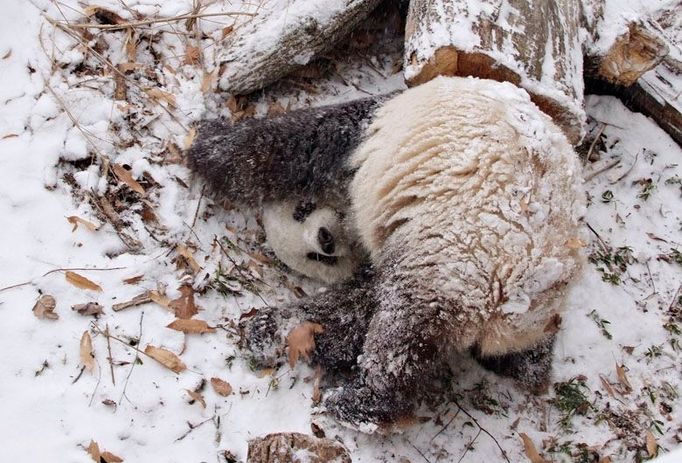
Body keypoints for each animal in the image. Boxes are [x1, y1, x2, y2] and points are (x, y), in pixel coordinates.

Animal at [186, 77, 584, 432]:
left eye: (303, 209)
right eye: (317, 259)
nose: (325, 241)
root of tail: (517, 295)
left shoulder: (358, 138)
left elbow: (286, 145)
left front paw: (205, 139)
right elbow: (350, 310)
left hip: (457, 258)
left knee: (401, 331)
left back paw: (360, 405)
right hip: (521, 297)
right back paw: (527, 367)